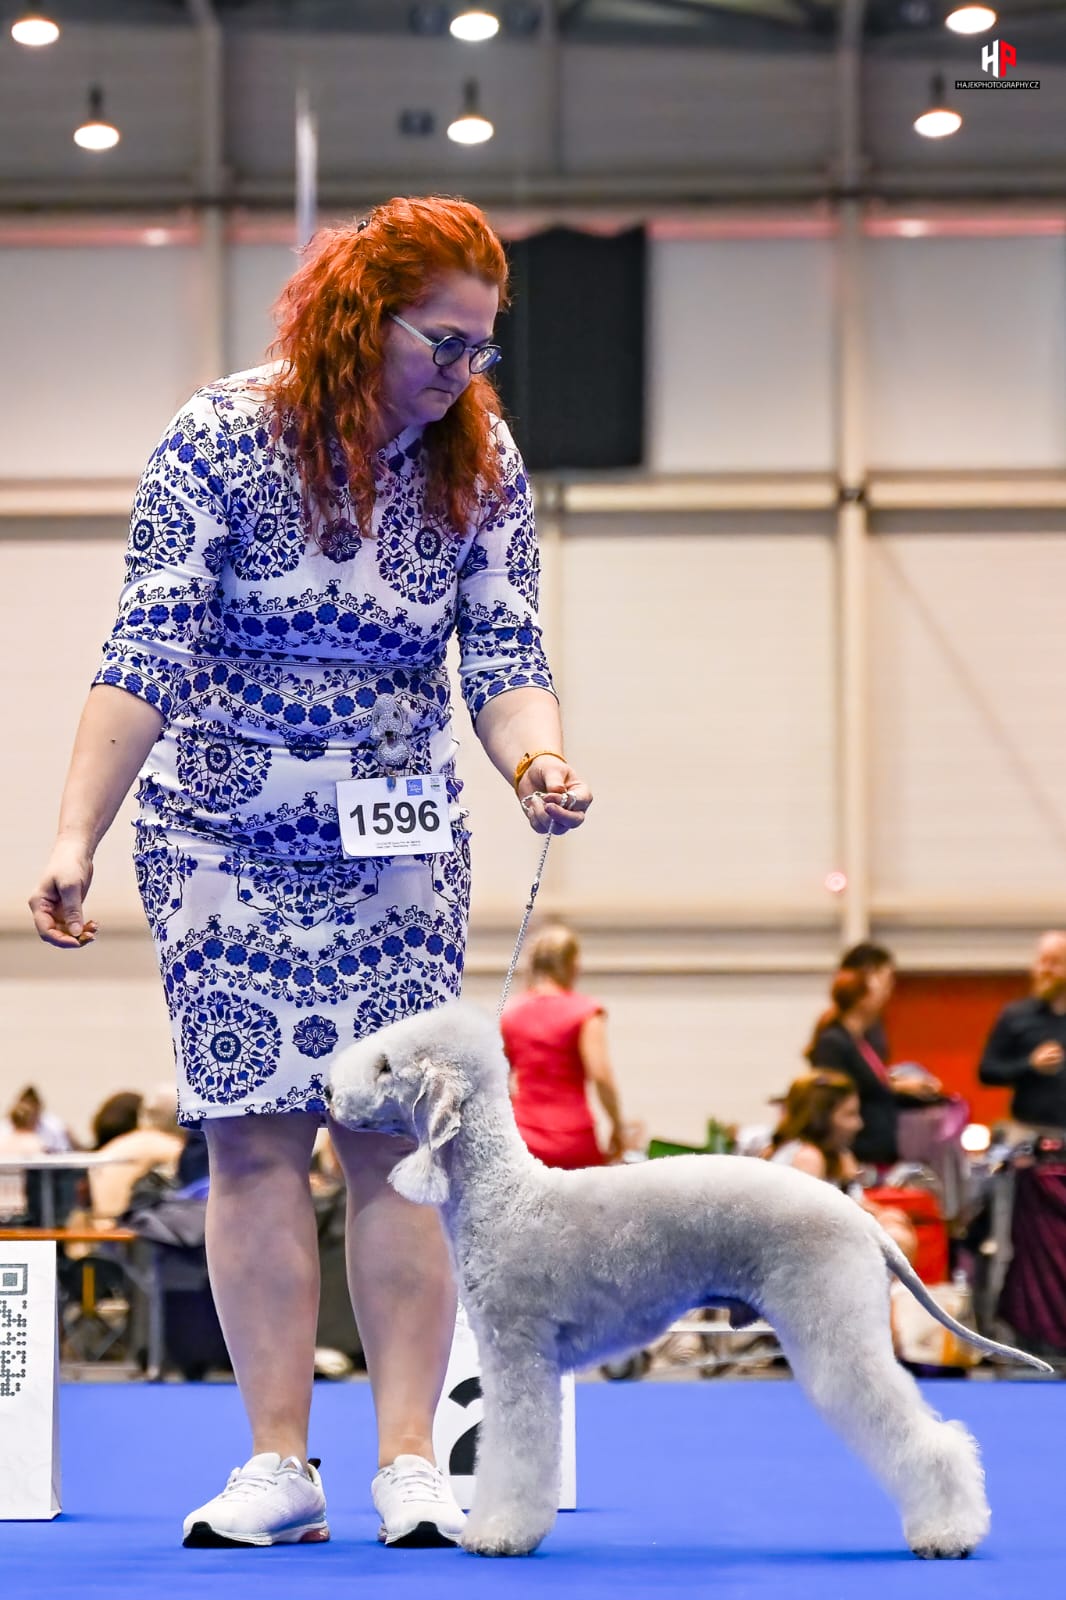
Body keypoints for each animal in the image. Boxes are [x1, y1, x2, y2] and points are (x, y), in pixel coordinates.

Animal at [328, 1002, 1050, 1559]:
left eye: (387, 1066)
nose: (330, 1093)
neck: (503, 1194)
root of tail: (861, 1217)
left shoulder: (519, 1354)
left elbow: (516, 1453)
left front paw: (498, 1534)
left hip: (834, 1328)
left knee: (927, 1436)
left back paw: (948, 1533)